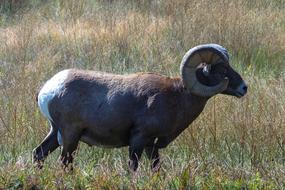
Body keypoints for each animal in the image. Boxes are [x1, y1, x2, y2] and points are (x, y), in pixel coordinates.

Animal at [32, 43, 246, 171]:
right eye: (221, 69)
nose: (244, 88)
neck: (178, 97)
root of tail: (47, 89)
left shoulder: (152, 146)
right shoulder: (138, 140)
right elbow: (133, 168)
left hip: (56, 133)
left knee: (38, 154)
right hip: (70, 136)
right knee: (64, 163)